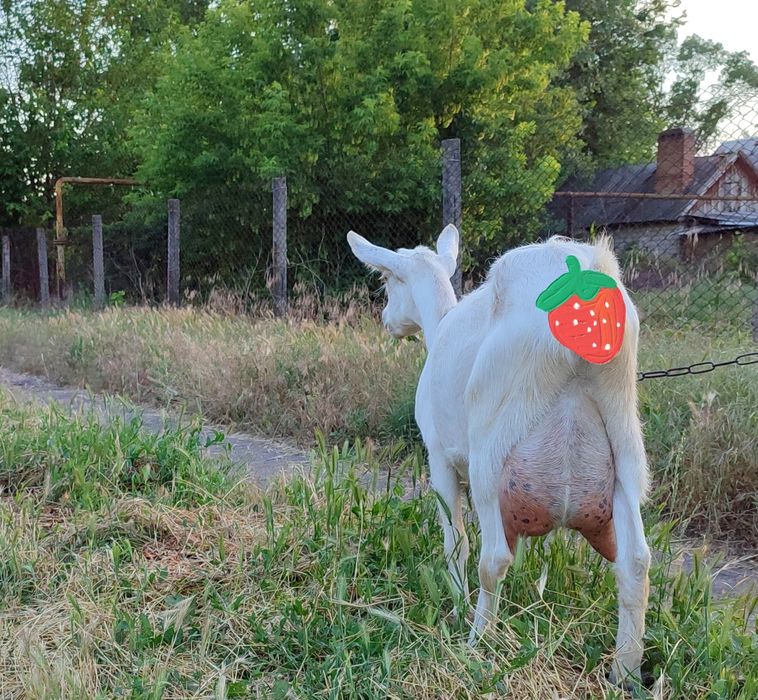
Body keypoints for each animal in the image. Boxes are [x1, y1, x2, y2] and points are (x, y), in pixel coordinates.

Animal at [347, 225, 650, 684]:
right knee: (636, 561)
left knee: (492, 558)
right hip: (625, 444)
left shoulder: (438, 454)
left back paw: (478, 642)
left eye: (386, 281)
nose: (386, 321)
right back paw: (625, 672)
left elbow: (455, 541)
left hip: (492, 451)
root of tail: (587, 272)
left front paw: (457, 605)